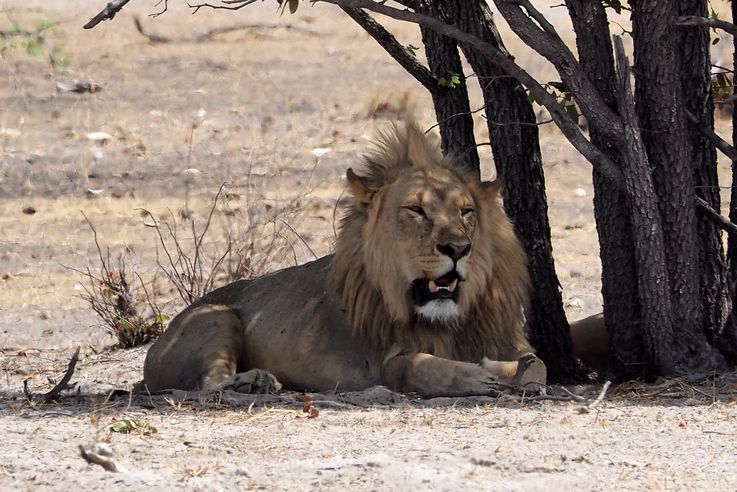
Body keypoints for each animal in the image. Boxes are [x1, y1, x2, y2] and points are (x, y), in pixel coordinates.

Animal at [142, 122, 548, 396]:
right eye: (416, 210)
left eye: (466, 212)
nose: (458, 249)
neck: (448, 321)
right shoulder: (388, 361)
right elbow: (422, 367)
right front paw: (476, 375)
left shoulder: (507, 336)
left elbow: (539, 365)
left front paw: (504, 368)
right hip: (217, 318)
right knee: (207, 385)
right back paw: (253, 381)